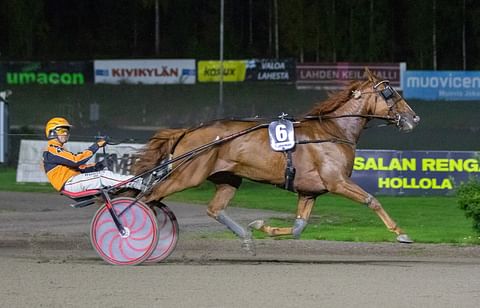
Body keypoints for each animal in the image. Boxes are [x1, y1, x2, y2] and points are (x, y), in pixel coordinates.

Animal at [132, 68, 420, 254]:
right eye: (390, 94)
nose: (414, 118)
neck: (333, 131)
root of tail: (188, 131)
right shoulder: (337, 182)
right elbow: (372, 200)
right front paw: (401, 233)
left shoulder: (309, 191)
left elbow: (298, 228)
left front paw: (261, 226)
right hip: (187, 175)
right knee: (149, 197)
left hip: (228, 179)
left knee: (213, 209)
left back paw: (246, 237)